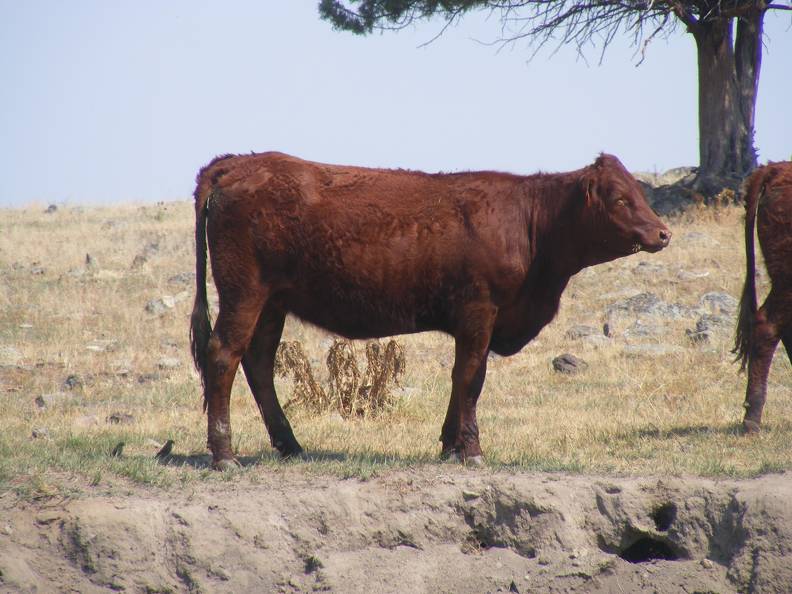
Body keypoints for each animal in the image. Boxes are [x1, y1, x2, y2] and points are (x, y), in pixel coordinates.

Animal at [190, 151, 668, 468]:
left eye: (638, 190)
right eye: (619, 198)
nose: (663, 233)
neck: (530, 225)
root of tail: (237, 162)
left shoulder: (477, 321)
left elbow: (464, 377)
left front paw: (449, 445)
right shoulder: (480, 311)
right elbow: (471, 378)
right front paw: (471, 450)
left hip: (273, 303)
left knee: (258, 363)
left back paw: (289, 445)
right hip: (244, 292)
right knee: (223, 356)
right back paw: (225, 455)